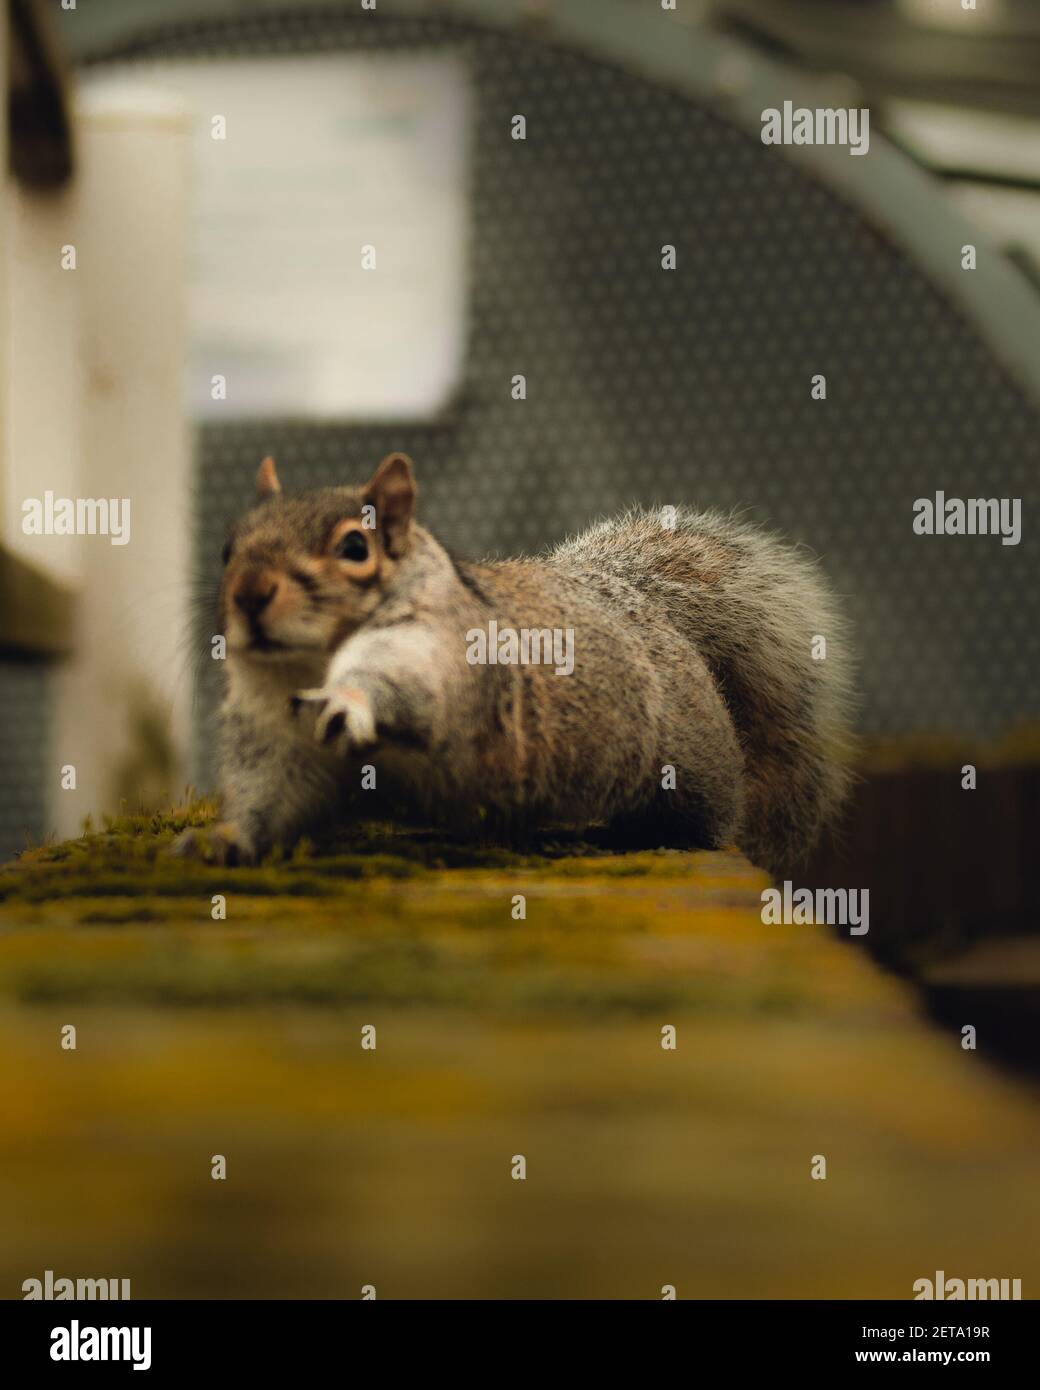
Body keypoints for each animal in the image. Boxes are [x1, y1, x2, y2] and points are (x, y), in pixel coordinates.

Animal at [173, 453, 854, 877]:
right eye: (228, 546)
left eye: (354, 546)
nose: (249, 593)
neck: (305, 665)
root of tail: (638, 606)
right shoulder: (274, 733)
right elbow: (268, 790)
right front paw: (225, 839)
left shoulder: (446, 654)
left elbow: (404, 688)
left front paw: (351, 699)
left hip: (689, 762)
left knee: (709, 807)